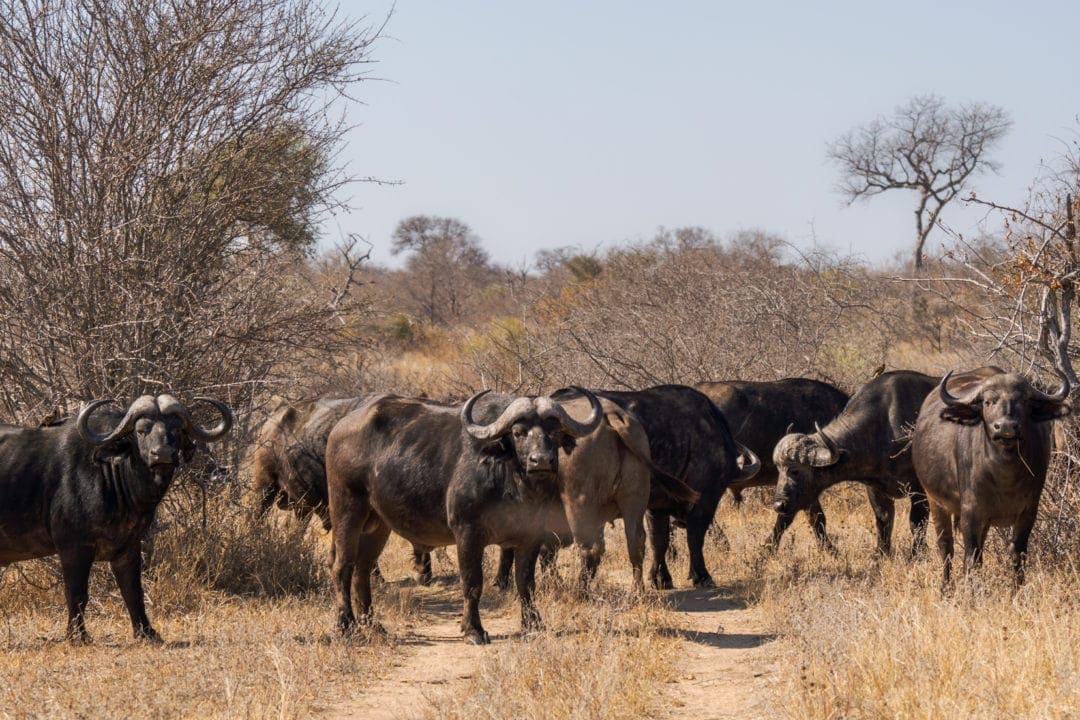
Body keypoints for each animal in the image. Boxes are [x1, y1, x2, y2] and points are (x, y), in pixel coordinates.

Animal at [0, 397, 232, 643]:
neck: (111, 472)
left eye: (176, 429)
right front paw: (78, 636)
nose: (163, 455)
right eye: (141, 430)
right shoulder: (74, 548)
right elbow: (77, 592)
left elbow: (133, 591)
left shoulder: (129, 548)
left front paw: (146, 632)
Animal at [324, 388, 604, 643]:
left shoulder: (531, 536)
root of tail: (338, 428)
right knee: (342, 567)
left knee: (362, 570)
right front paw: (473, 629)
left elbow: (525, 582)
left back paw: (372, 625)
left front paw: (534, 623)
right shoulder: (467, 533)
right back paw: (346, 625)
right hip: (346, 510)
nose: (541, 461)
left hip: (378, 524)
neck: (512, 481)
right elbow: (472, 582)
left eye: (553, 432)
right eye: (518, 432)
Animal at [768, 371, 937, 557]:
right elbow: (883, 519)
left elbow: (917, 523)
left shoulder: (919, 490)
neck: (884, 425)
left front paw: (917, 555)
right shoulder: (875, 488)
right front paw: (881, 553)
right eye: (779, 470)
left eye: (795, 471)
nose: (778, 505)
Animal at [911, 367, 1071, 587]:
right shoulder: (971, 512)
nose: (1005, 427)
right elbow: (971, 556)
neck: (1004, 475)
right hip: (935, 501)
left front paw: (1016, 589)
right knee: (946, 548)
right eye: (988, 402)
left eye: (1023, 401)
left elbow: (1017, 554)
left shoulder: (1028, 512)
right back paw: (946, 587)